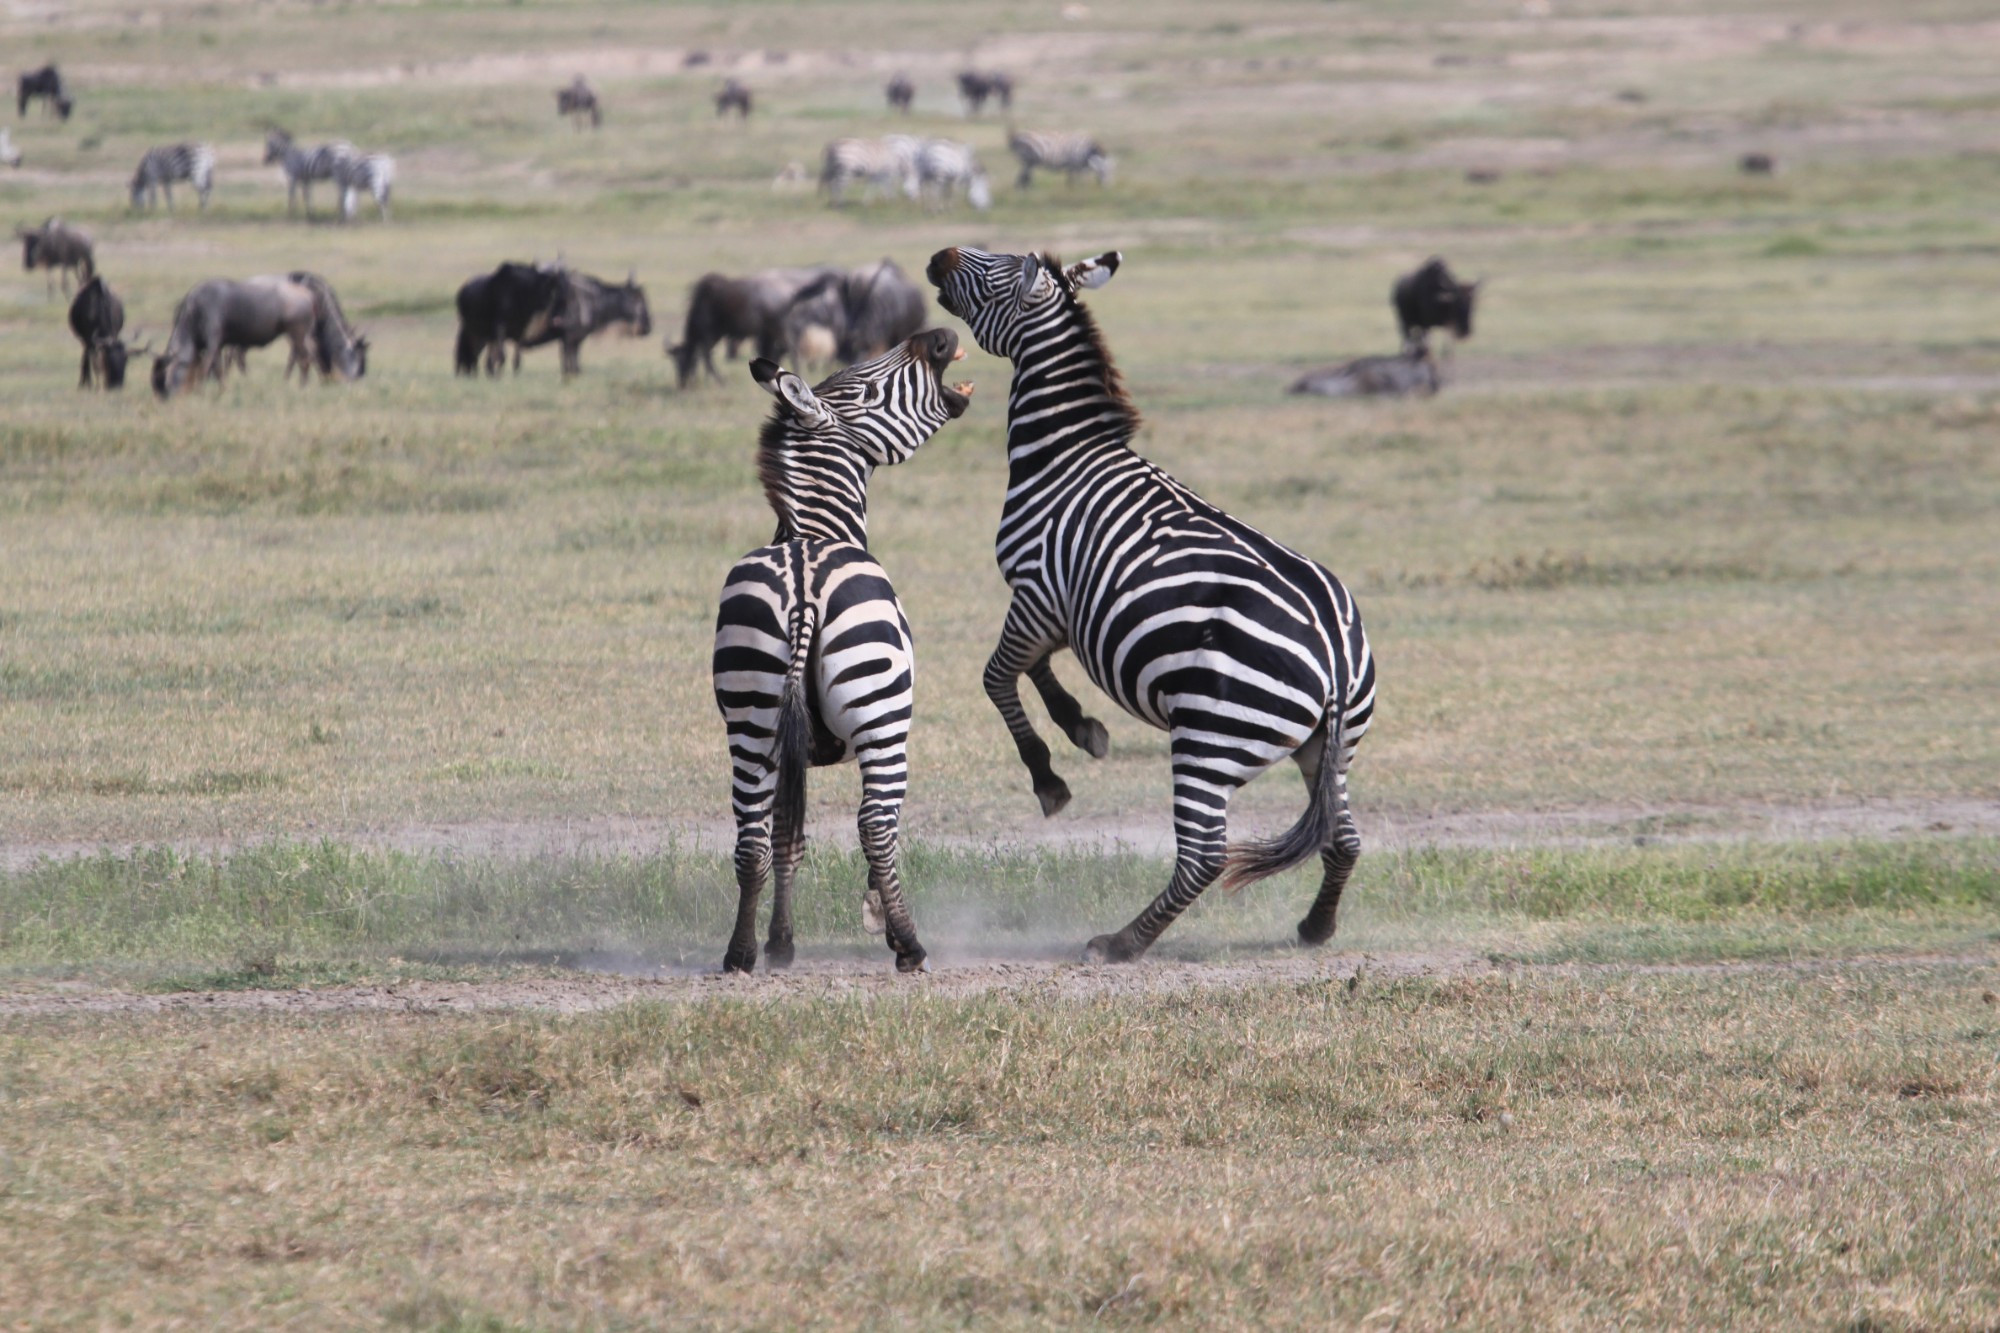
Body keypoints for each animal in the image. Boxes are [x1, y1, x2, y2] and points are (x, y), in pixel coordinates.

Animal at [712, 326, 976, 972]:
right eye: (868, 389)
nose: (941, 336)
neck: (814, 532)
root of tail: (805, 584)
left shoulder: (789, 748)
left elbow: (788, 839)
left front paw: (781, 944)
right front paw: (877, 917)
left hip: (750, 712)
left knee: (751, 837)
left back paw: (740, 953)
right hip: (883, 716)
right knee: (876, 825)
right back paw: (909, 945)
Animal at [924, 244, 1376, 960]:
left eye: (991, 268)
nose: (937, 257)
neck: (1064, 455)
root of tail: (1334, 655)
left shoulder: (1036, 590)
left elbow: (997, 676)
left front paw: (1049, 777)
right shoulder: (1061, 609)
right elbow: (1034, 669)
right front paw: (1082, 726)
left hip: (1209, 736)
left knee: (1204, 855)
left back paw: (1122, 942)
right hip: (1331, 745)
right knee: (1345, 837)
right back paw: (1315, 927)